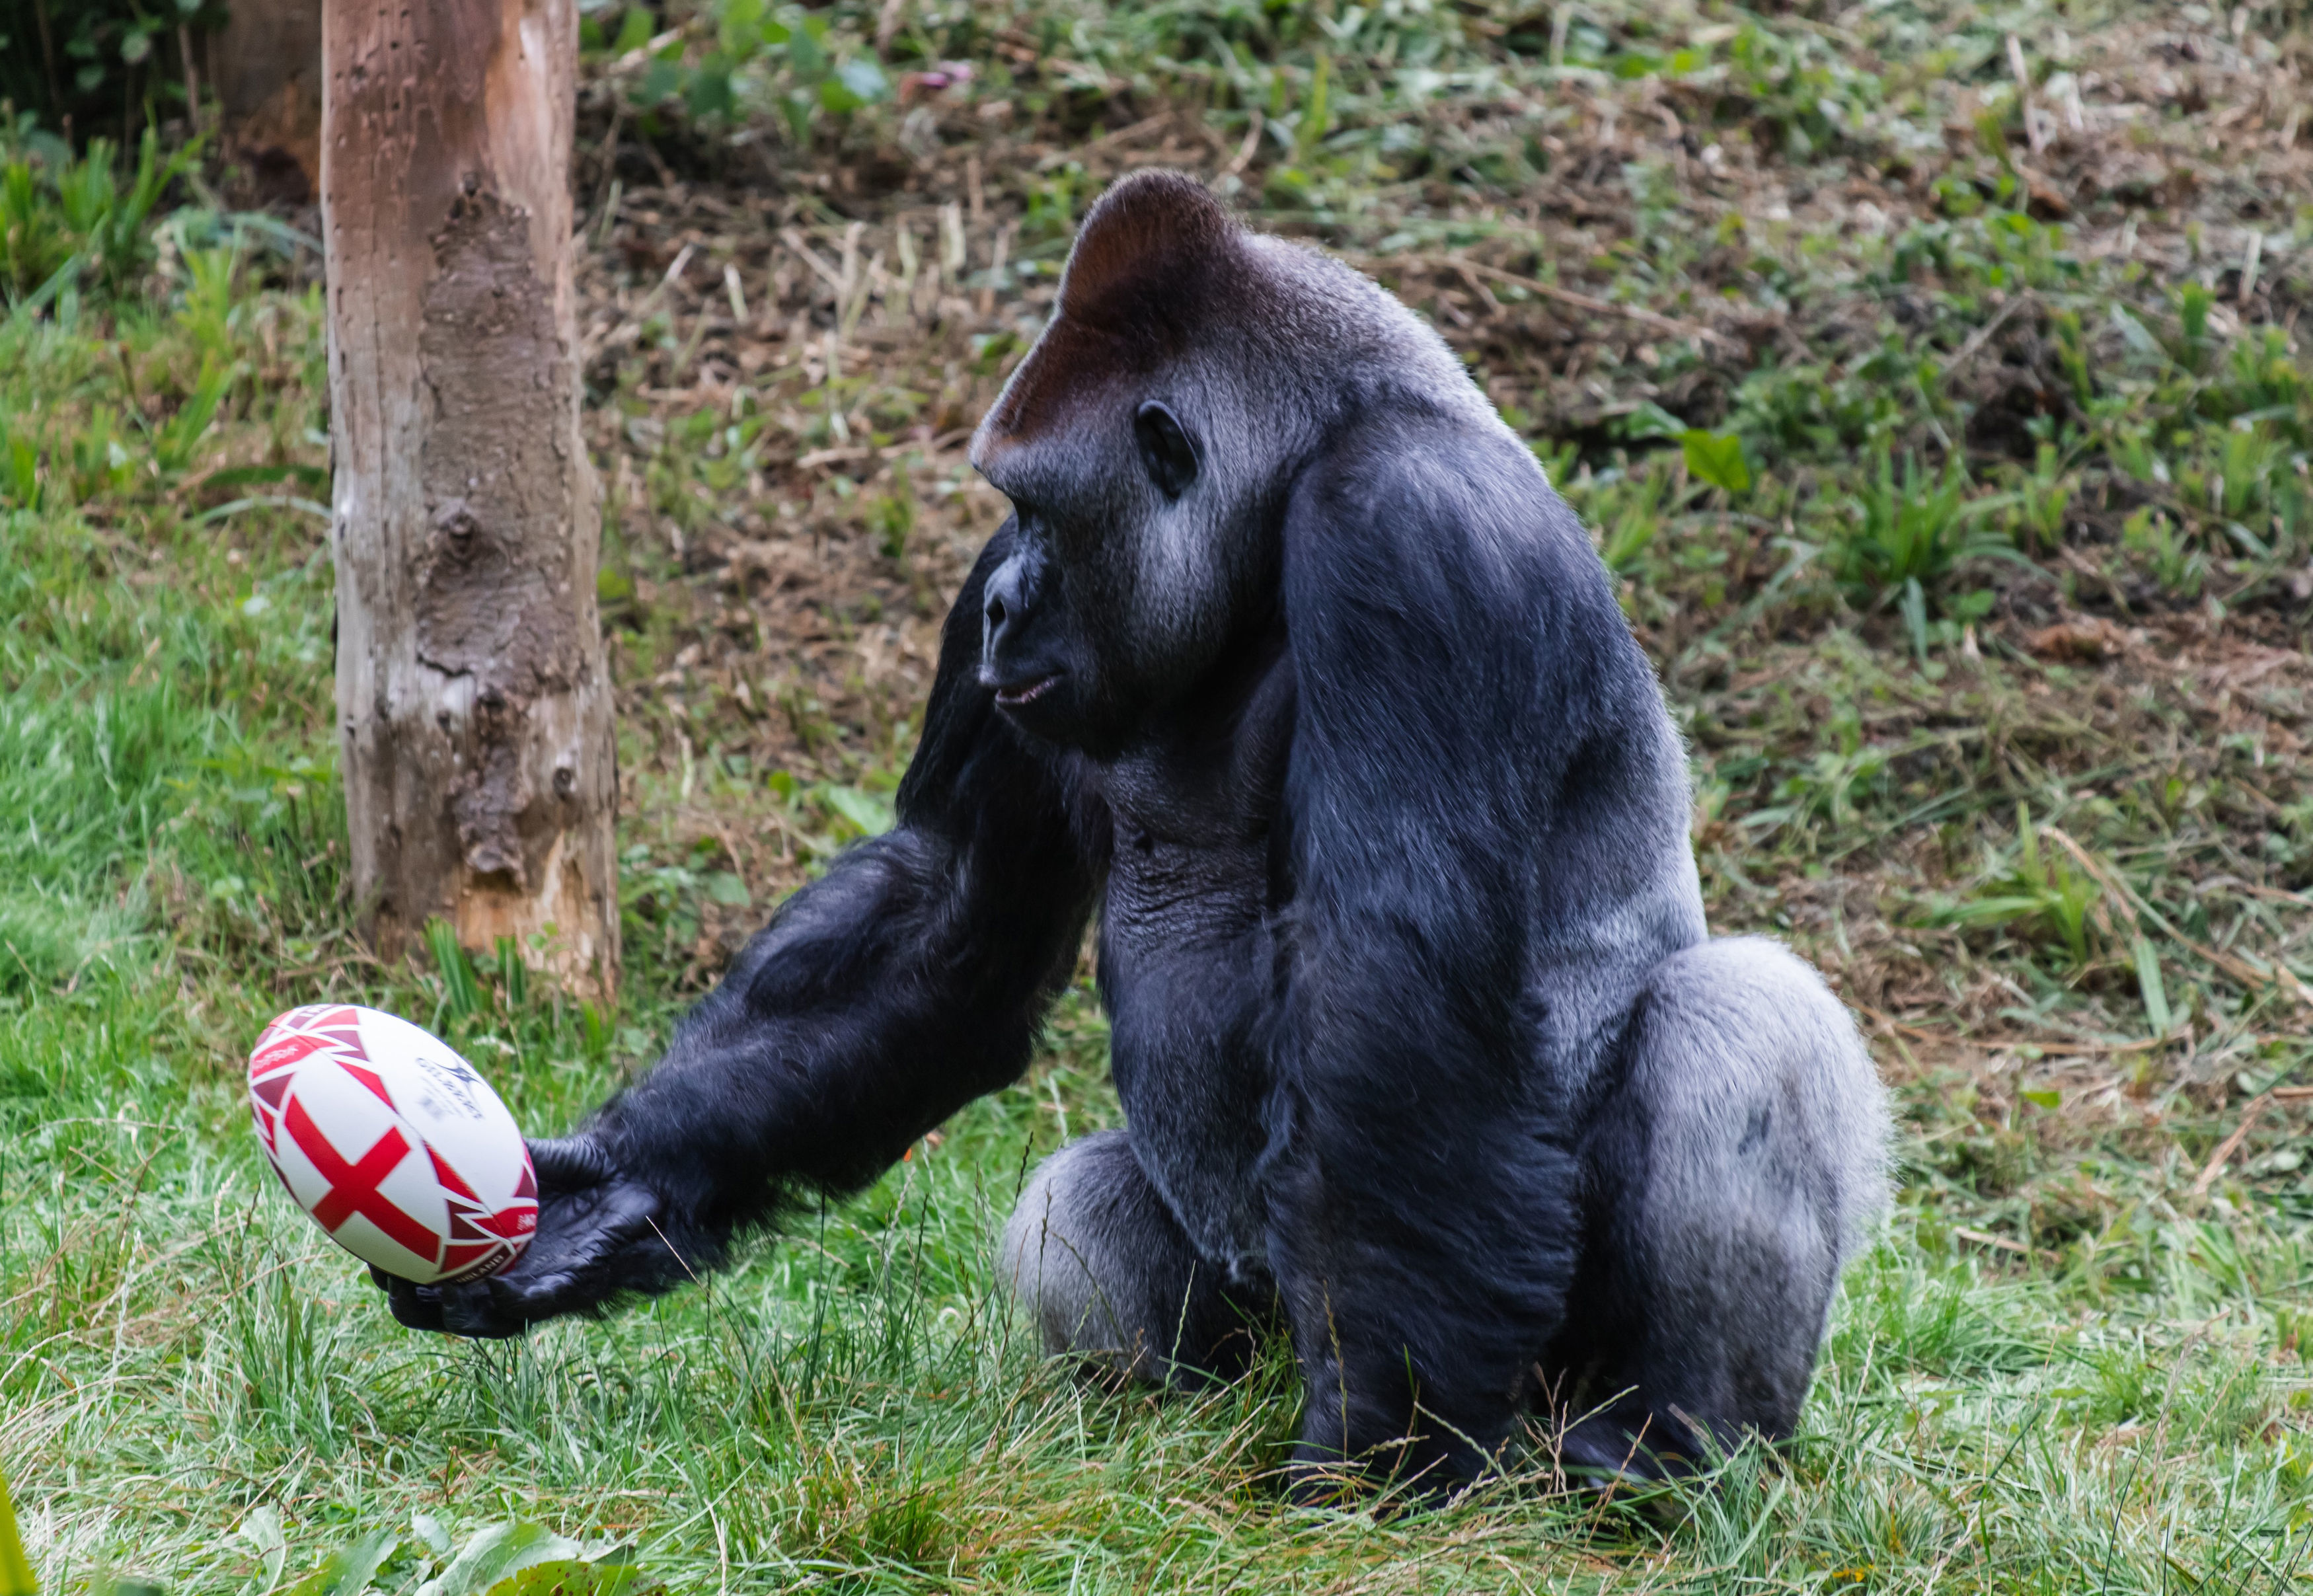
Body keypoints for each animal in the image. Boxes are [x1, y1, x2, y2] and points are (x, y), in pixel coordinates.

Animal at [375, 170, 1890, 1499]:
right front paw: (622, 1193)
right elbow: (950, 918)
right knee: (1079, 1204)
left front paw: (1381, 1443)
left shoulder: (1412, 532)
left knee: (1740, 1020)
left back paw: (1657, 1452)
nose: (1003, 606)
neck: (1303, 459)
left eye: (1039, 506)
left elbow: (1388, 984)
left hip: (1534, 1375)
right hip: (1252, 1323)